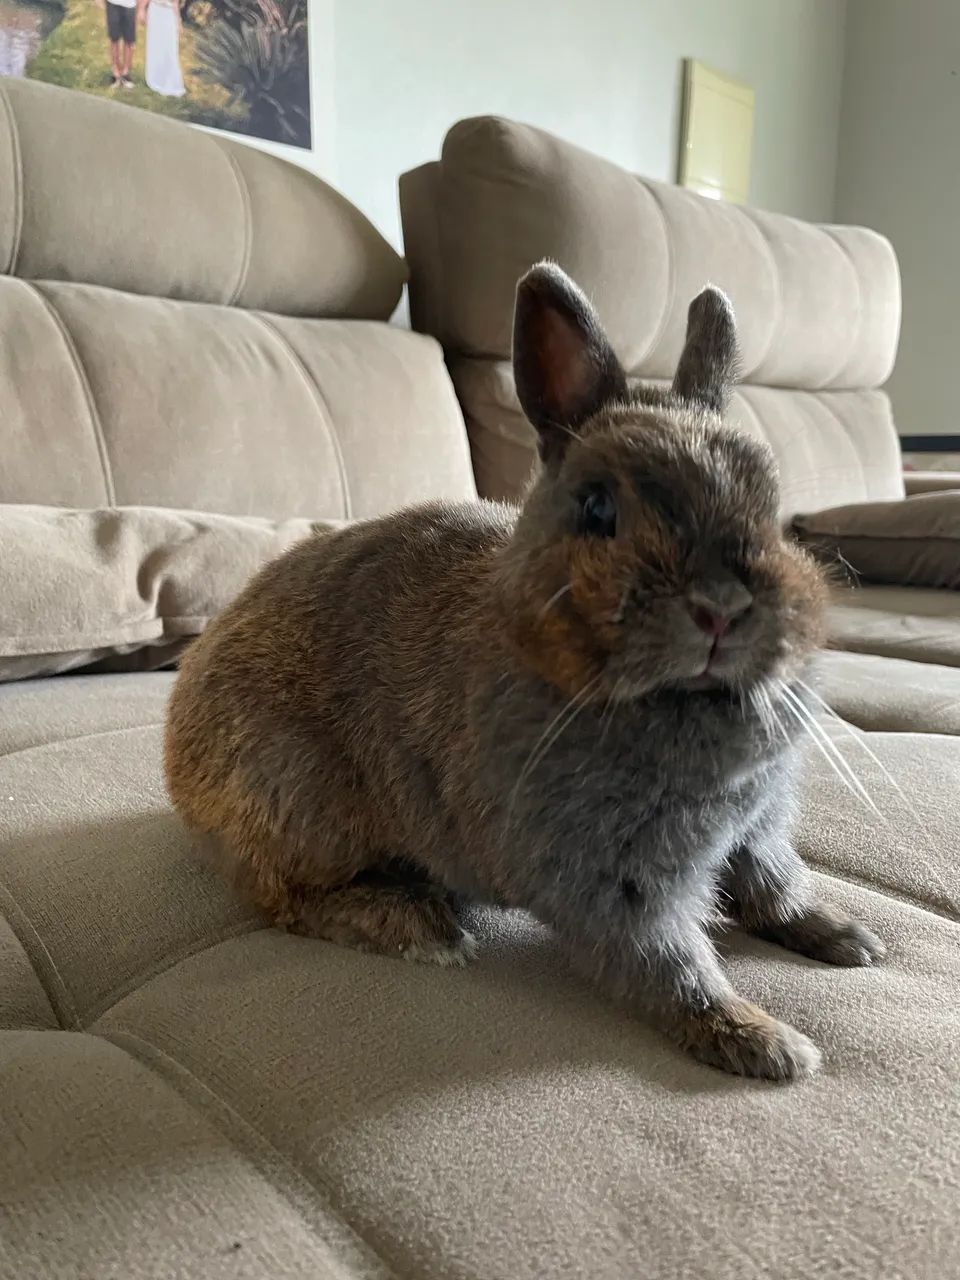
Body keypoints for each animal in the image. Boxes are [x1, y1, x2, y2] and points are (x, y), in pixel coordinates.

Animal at [165, 262, 885, 1081]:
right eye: (598, 508)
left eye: (771, 497)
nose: (723, 607)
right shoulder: (611, 881)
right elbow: (669, 963)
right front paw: (765, 1043)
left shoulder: (757, 831)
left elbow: (778, 886)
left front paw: (851, 940)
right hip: (298, 802)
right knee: (282, 900)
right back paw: (419, 928)